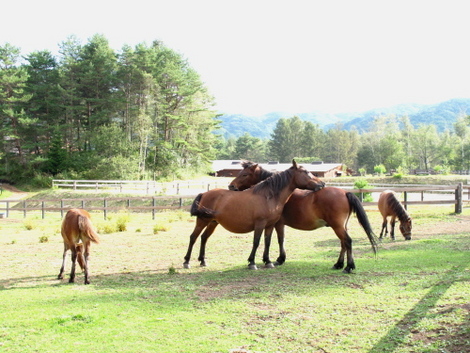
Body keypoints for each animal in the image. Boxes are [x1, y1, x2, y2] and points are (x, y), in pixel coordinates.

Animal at [182, 160, 324, 270]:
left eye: (245, 174)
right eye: (306, 172)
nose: (321, 184)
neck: (268, 196)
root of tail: (204, 193)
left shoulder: (270, 225)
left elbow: (267, 242)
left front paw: (268, 261)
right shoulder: (260, 224)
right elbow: (256, 242)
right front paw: (252, 263)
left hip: (212, 222)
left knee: (204, 238)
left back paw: (203, 261)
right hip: (202, 221)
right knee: (193, 237)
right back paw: (186, 262)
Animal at [228, 161, 378, 274]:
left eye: (244, 174)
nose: (231, 186)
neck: (275, 193)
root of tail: (345, 192)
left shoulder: (278, 223)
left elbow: (279, 240)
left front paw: (278, 259)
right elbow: (279, 240)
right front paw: (278, 259)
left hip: (337, 226)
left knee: (347, 241)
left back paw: (348, 267)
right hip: (341, 227)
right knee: (343, 243)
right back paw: (338, 264)